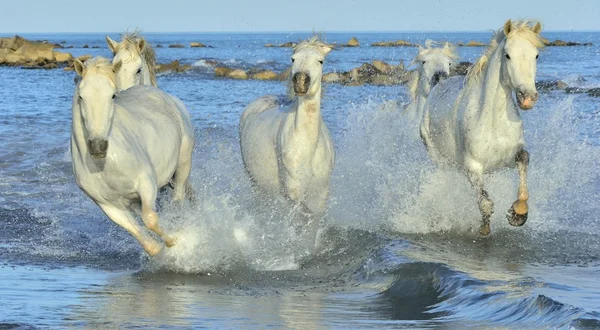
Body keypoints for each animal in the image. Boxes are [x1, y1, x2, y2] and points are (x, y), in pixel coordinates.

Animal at [71, 57, 195, 255]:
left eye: (113, 96)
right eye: (82, 96)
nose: (98, 146)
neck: (105, 164)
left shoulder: (146, 183)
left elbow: (150, 219)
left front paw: (176, 240)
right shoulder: (108, 205)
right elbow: (147, 242)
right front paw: (162, 247)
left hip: (183, 162)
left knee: (178, 197)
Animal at [238, 36, 332, 214]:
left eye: (320, 61)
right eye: (293, 59)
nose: (301, 81)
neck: (307, 147)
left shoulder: (320, 195)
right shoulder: (293, 191)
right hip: (255, 183)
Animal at [420, 20, 540, 235]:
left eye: (536, 55)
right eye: (507, 55)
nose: (528, 97)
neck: (492, 120)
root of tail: (438, 84)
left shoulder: (509, 156)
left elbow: (524, 159)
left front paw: (518, 213)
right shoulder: (473, 167)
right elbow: (485, 203)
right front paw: (483, 228)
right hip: (440, 159)